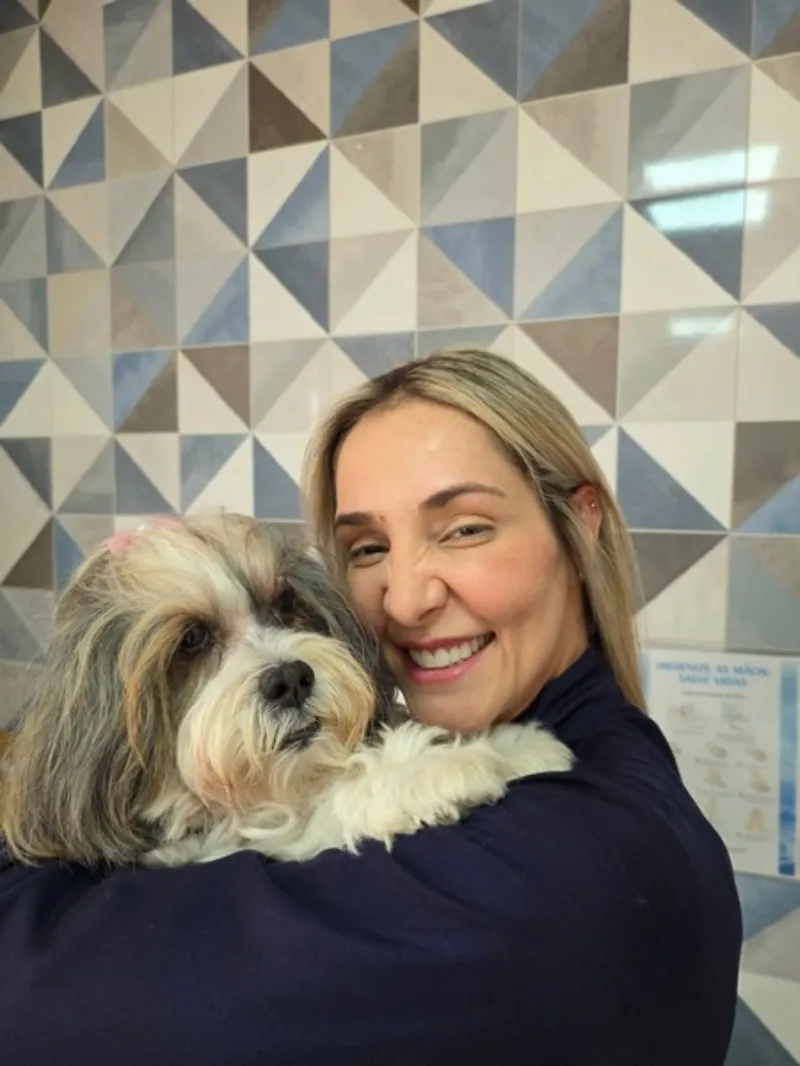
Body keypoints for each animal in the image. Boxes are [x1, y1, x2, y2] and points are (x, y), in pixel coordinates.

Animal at [0, 514, 574, 869]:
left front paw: (518, 746)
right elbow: (320, 813)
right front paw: (434, 772)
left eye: (284, 601)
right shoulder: (211, 844)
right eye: (191, 639)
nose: (290, 678)